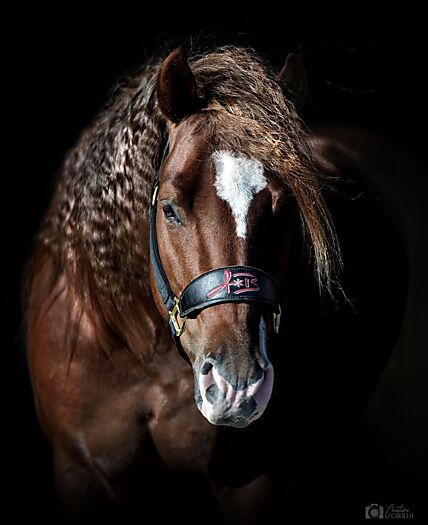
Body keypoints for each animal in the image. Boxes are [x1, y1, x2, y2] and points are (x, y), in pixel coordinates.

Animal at [25, 45, 425, 523]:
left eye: (288, 210)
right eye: (170, 208)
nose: (238, 385)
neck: (140, 355)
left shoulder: (249, 483)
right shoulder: (78, 473)